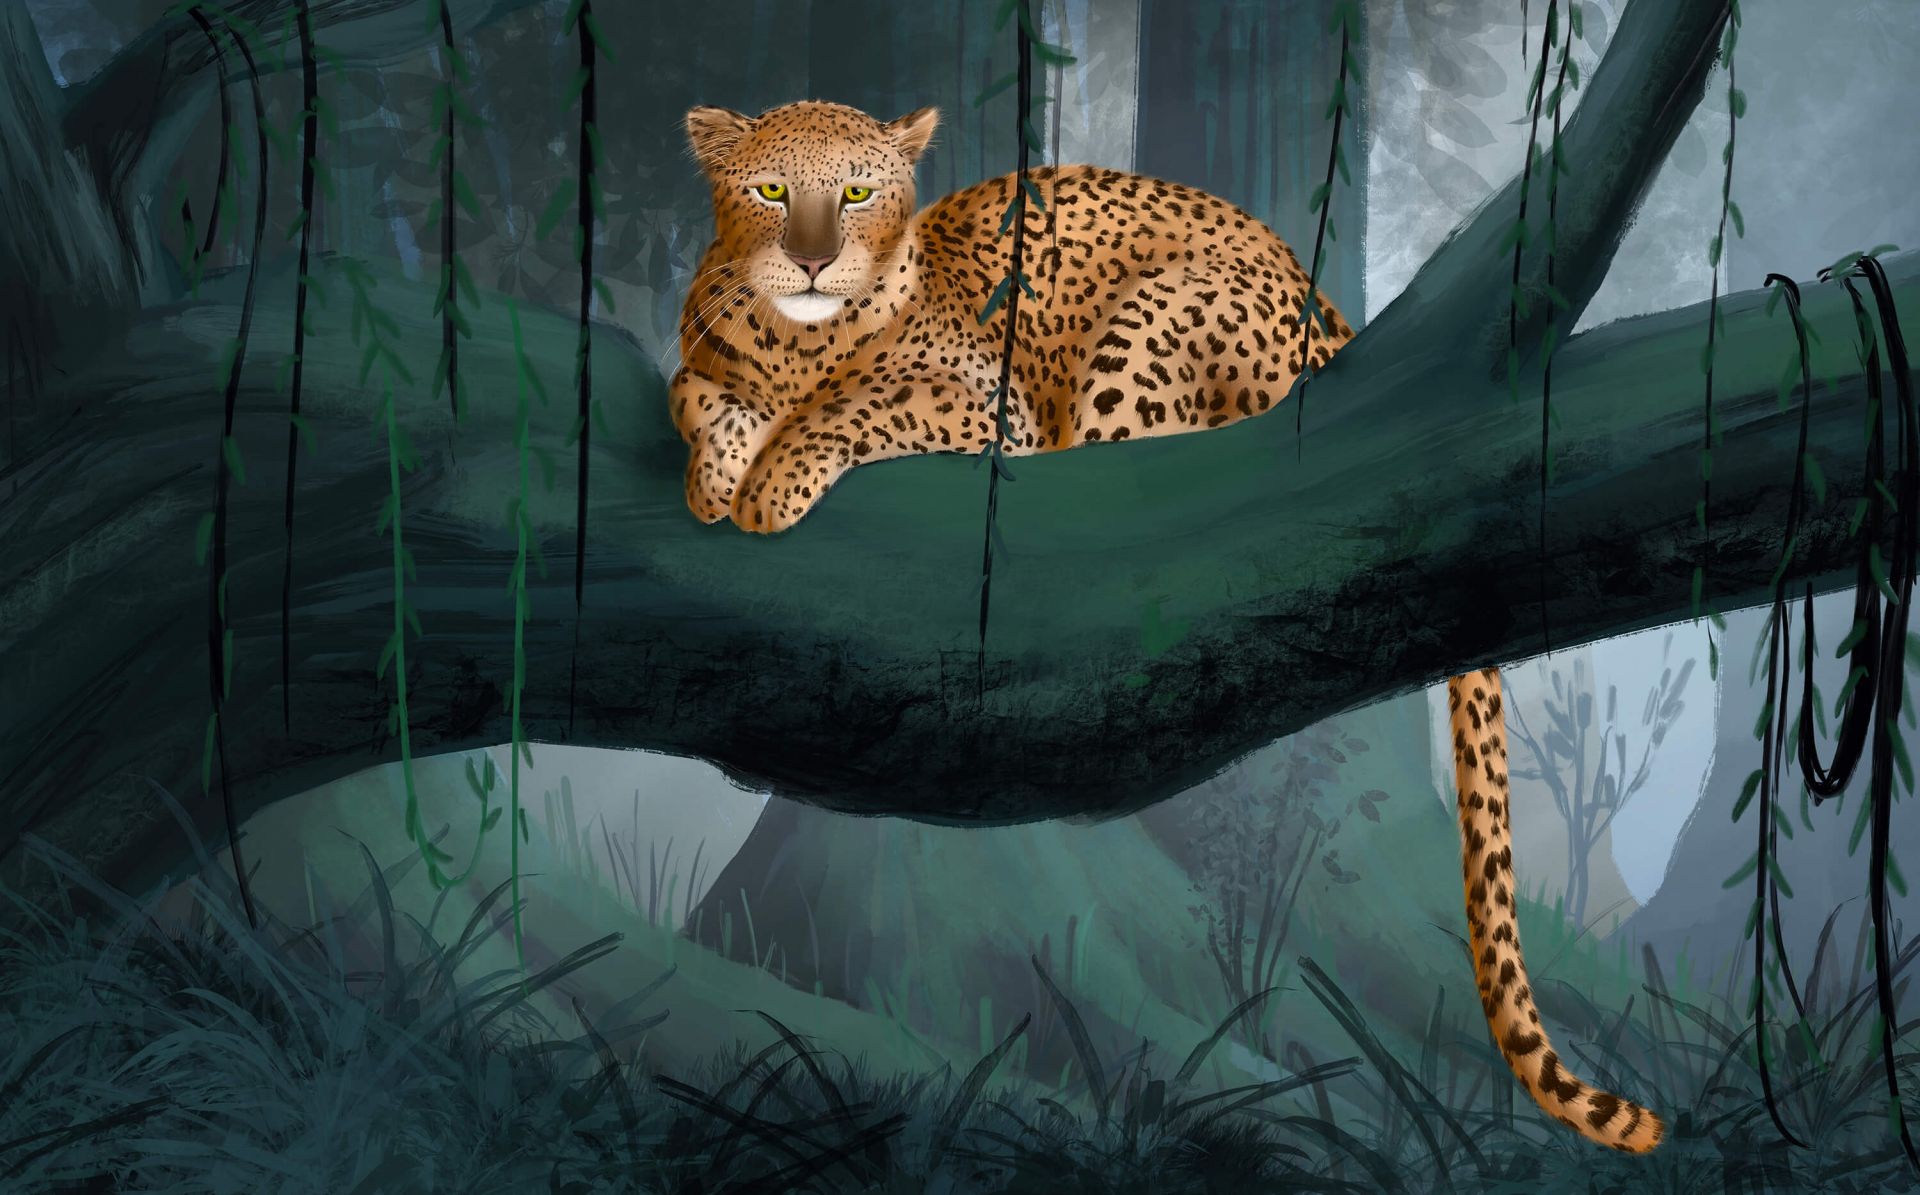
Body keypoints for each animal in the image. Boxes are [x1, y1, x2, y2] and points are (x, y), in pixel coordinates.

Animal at [669, 98, 1665, 1154]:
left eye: (856, 192)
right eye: (772, 190)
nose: (815, 261)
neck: (795, 345)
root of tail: (1329, 312)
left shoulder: (987, 408)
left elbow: (862, 405)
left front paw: (770, 478)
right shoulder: (705, 364)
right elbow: (700, 397)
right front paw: (720, 468)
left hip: (1147, 338)